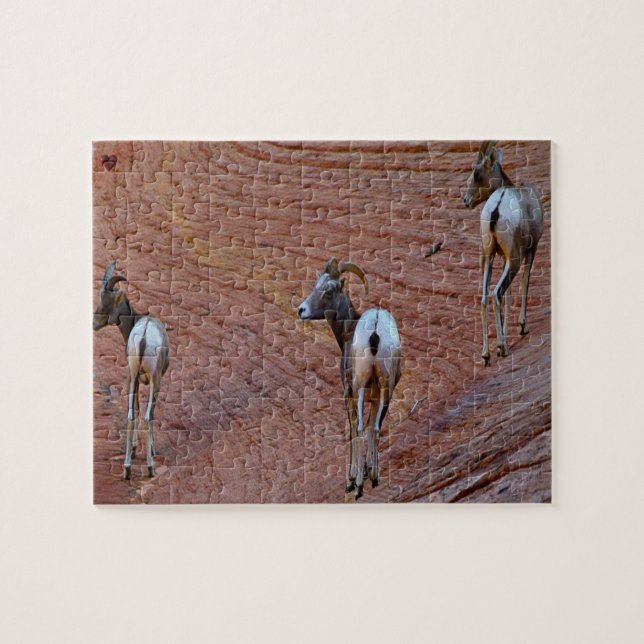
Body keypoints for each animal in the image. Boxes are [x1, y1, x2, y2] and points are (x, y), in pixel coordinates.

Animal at [93, 260, 170, 479]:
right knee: (147, 416)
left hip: (131, 377)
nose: (94, 323)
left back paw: (127, 467)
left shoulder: (133, 379)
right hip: (153, 381)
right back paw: (150, 466)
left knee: (130, 415)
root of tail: (143, 336)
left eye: (106, 301)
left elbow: (134, 409)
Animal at [298, 257, 402, 499]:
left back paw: (359, 487)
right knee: (375, 427)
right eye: (316, 285)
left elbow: (353, 427)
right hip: (387, 388)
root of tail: (375, 329)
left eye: (327, 291)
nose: (301, 310)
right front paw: (368, 471)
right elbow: (373, 425)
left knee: (361, 427)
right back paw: (374, 478)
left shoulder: (348, 392)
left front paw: (352, 479)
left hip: (360, 386)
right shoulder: (377, 395)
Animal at [464, 141, 544, 365]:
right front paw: (522, 327)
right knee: (496, 293)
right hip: (514, 260)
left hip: (487, 257)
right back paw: (502, 348)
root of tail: (497, 208)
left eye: (477, 174)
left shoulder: (501, 258)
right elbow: (524, 284)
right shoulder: (530, 251)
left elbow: (508, 297)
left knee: (485, 297)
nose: (465, 200)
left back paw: (486, 354)